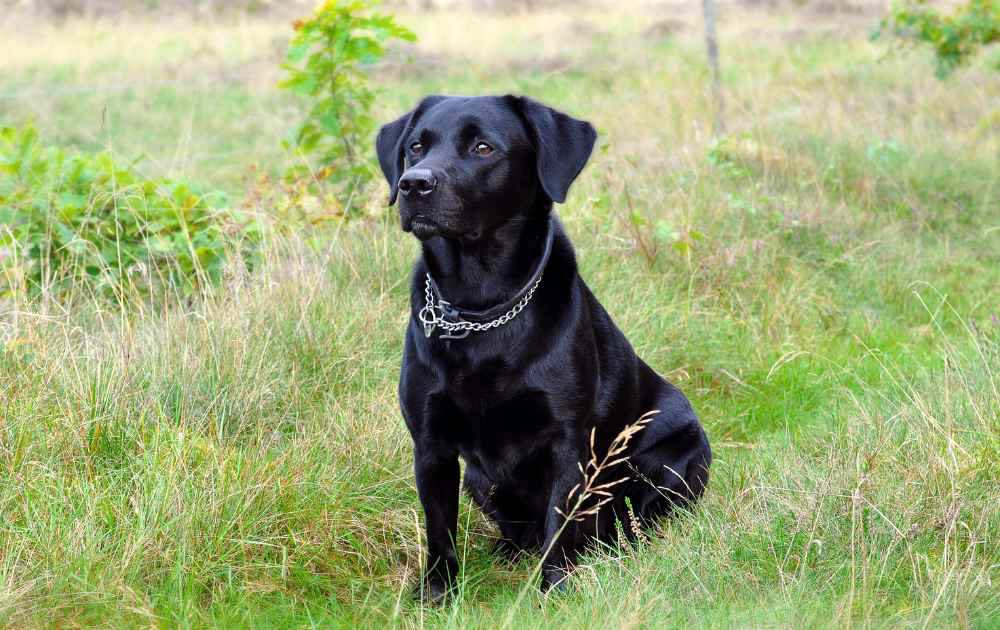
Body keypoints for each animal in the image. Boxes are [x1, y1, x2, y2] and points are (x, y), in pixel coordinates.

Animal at [376, 95, 712, 604]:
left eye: (482, 147)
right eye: (416, 146)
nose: (414, 184)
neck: (480, 308)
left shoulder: (567, 443)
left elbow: (560, 525)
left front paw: (554, 591)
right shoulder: (431, 445)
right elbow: (439, 531)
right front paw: (437, 594)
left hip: (677, 458)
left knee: (628, 521)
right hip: (480, 479)